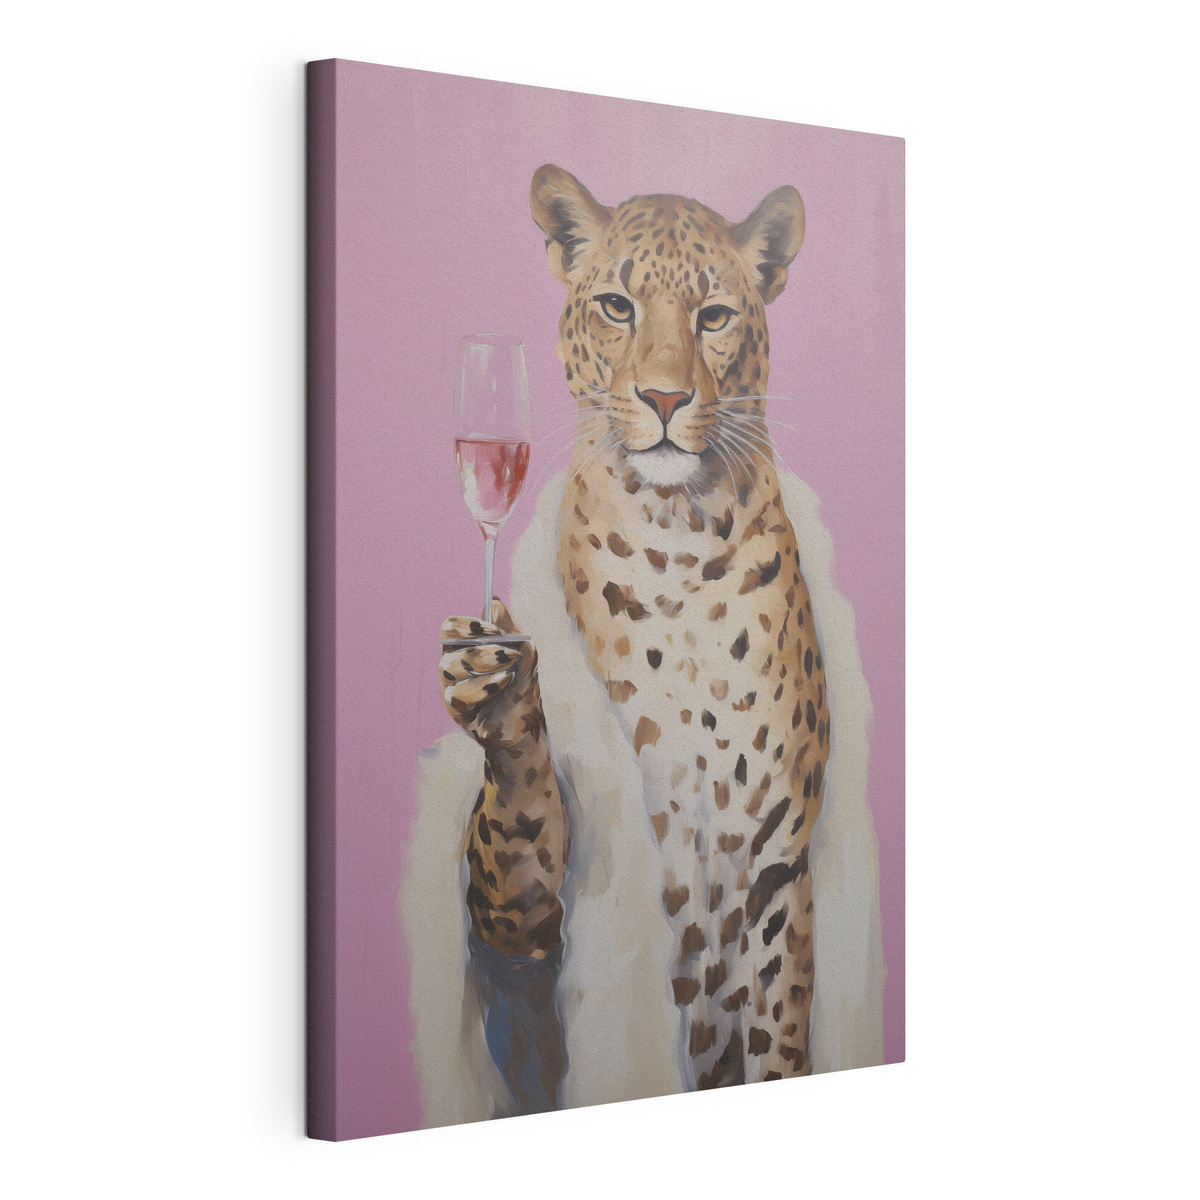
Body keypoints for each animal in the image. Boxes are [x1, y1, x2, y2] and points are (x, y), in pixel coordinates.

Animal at [438, 164, 834, 1098]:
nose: (663, 396)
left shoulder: (775, 860)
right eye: (617, 306)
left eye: (713, 316)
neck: (676, 539)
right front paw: (498, 694)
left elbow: (776, 1034)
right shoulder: (530, 907)